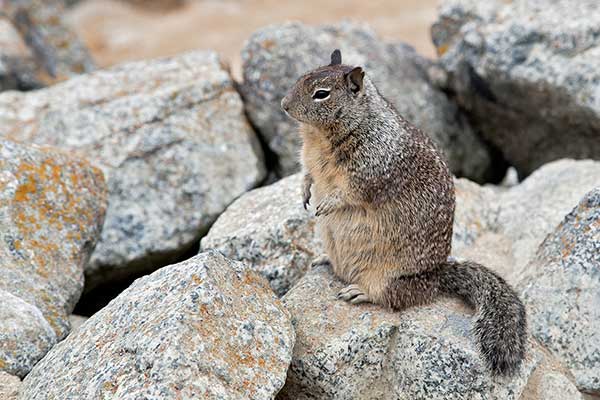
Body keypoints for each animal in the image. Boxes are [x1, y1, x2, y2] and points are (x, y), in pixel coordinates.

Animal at [282, 49, 524, 376]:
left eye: (322, 94)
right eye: (301, 77)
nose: (284, 104)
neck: (320, 135)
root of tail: (436, 276)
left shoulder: (371, 167)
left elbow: (350, 192)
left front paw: (327, 203)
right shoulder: (308, 157)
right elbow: (307, 174)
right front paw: (305, 192)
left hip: (389, 277)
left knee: (393, 297)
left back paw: (358, 292)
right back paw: (324, 259)